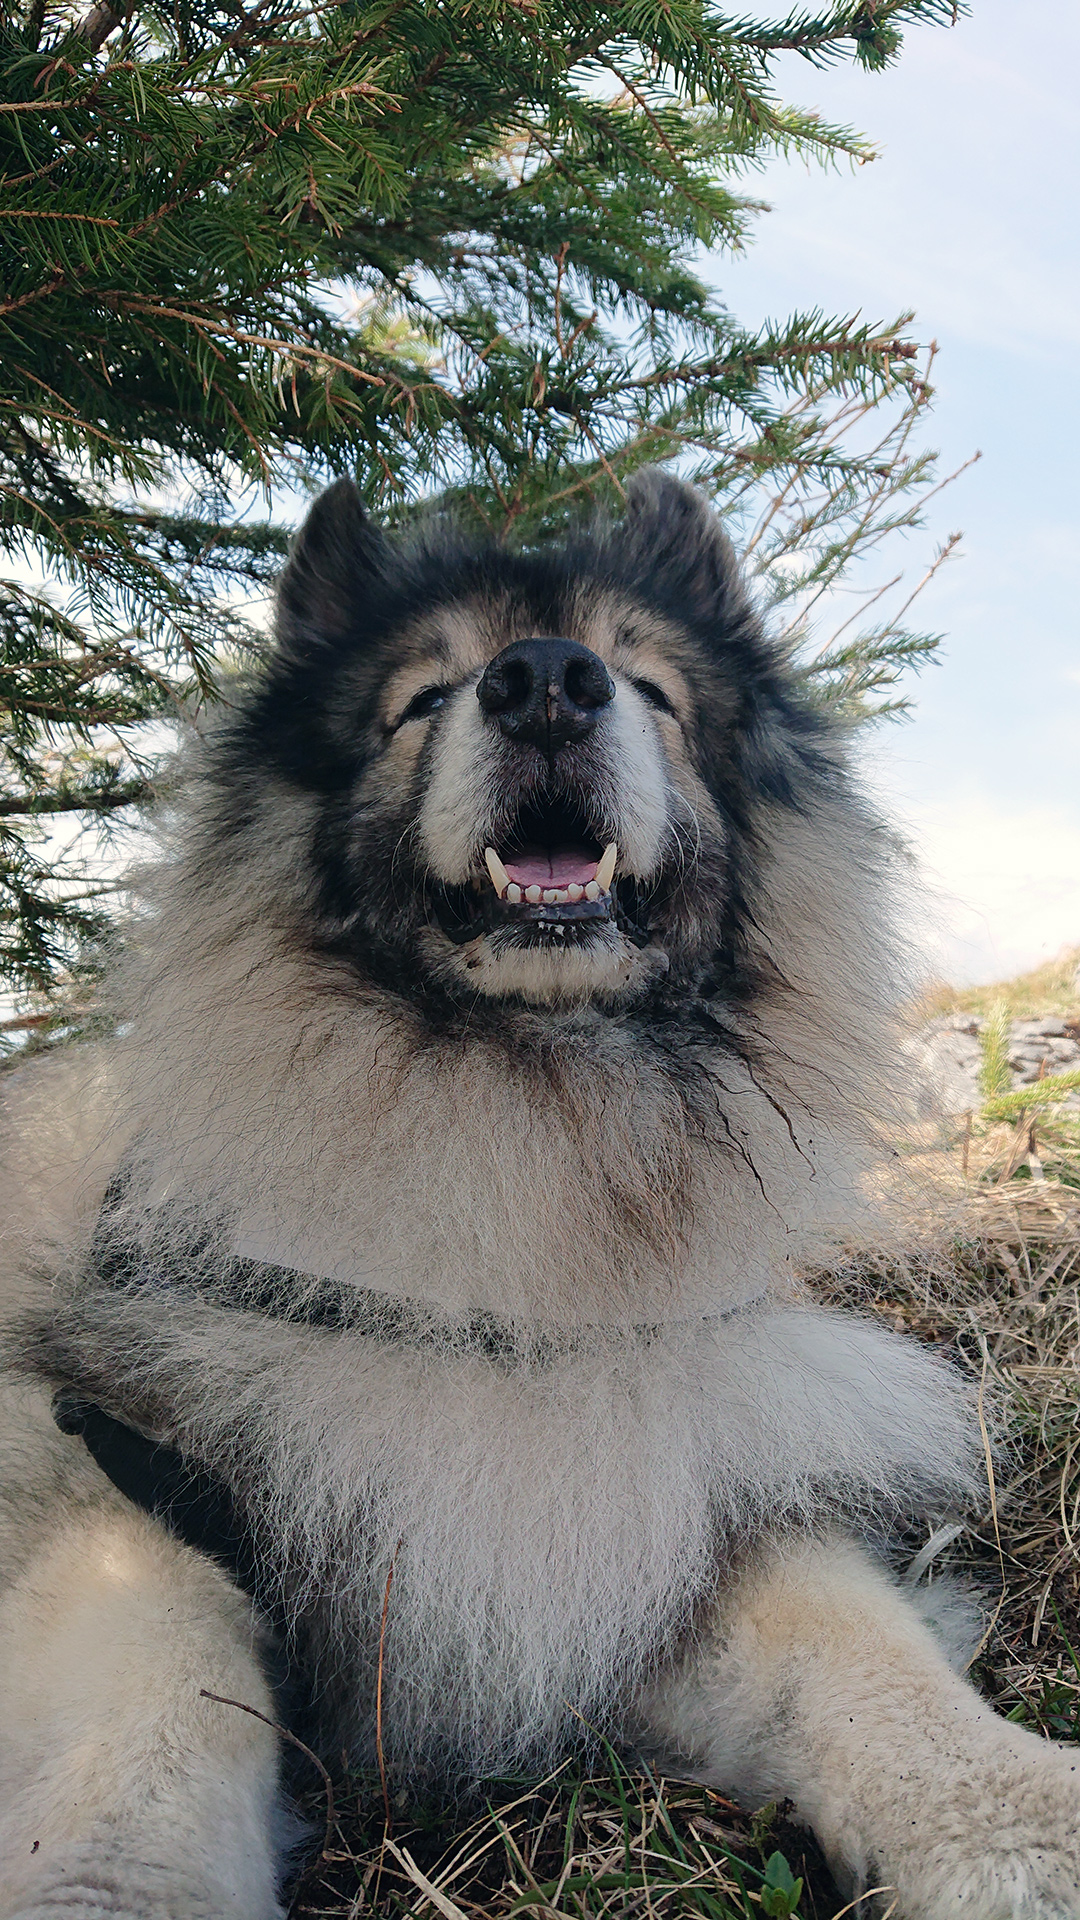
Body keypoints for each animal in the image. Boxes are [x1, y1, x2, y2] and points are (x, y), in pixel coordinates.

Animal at [2, 468, 1076, 1920]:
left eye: (651, 686)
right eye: (423, 698)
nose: (550, 684)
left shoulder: (658, 1492)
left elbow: (863, 1657)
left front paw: (1026, 1822)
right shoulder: (118, 1462)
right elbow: (154, 1698)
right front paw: (111, 1884)